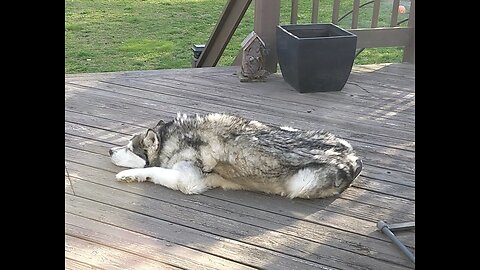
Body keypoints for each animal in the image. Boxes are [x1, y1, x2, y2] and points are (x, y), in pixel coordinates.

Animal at [109, 113, 362, 199]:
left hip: (301, 183)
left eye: (129, 148)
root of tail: (354, 157)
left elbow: (154, 169)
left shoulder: (188, 181)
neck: (175, 138)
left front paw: (128, 174)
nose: (110, 151)